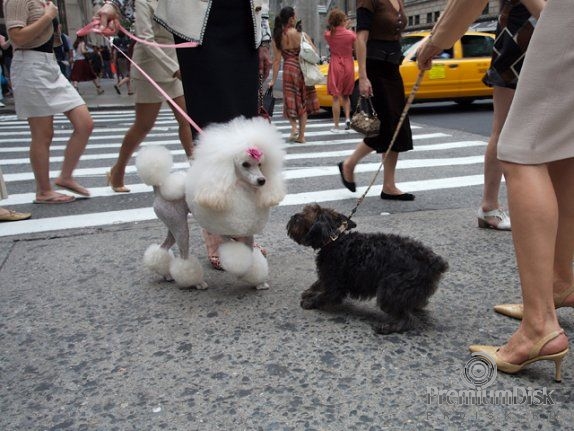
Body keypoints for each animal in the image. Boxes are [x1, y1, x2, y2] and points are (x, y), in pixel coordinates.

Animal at [288, 205, 450, 334]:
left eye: (303, 216)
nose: (292, 217)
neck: (334, 240)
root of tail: (434, 262)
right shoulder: (327, 275)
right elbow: (319, 282)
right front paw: (309, 291)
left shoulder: (334, 285)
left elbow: (324, 295)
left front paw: (310, 301)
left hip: (390, 288)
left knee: (408, 319)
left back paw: (389, 327)